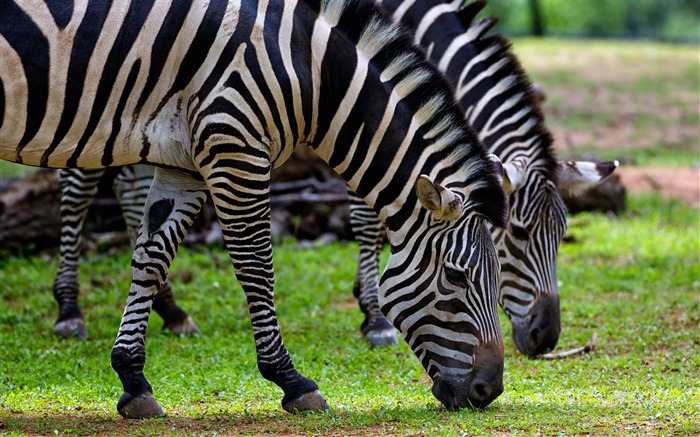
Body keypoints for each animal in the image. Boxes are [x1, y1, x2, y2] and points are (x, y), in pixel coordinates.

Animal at [346, 0, 616, 352]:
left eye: (561, 234)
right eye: (519, 232)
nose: (545, 339)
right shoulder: (364, 127)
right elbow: (369, 222)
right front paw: (376, 319)